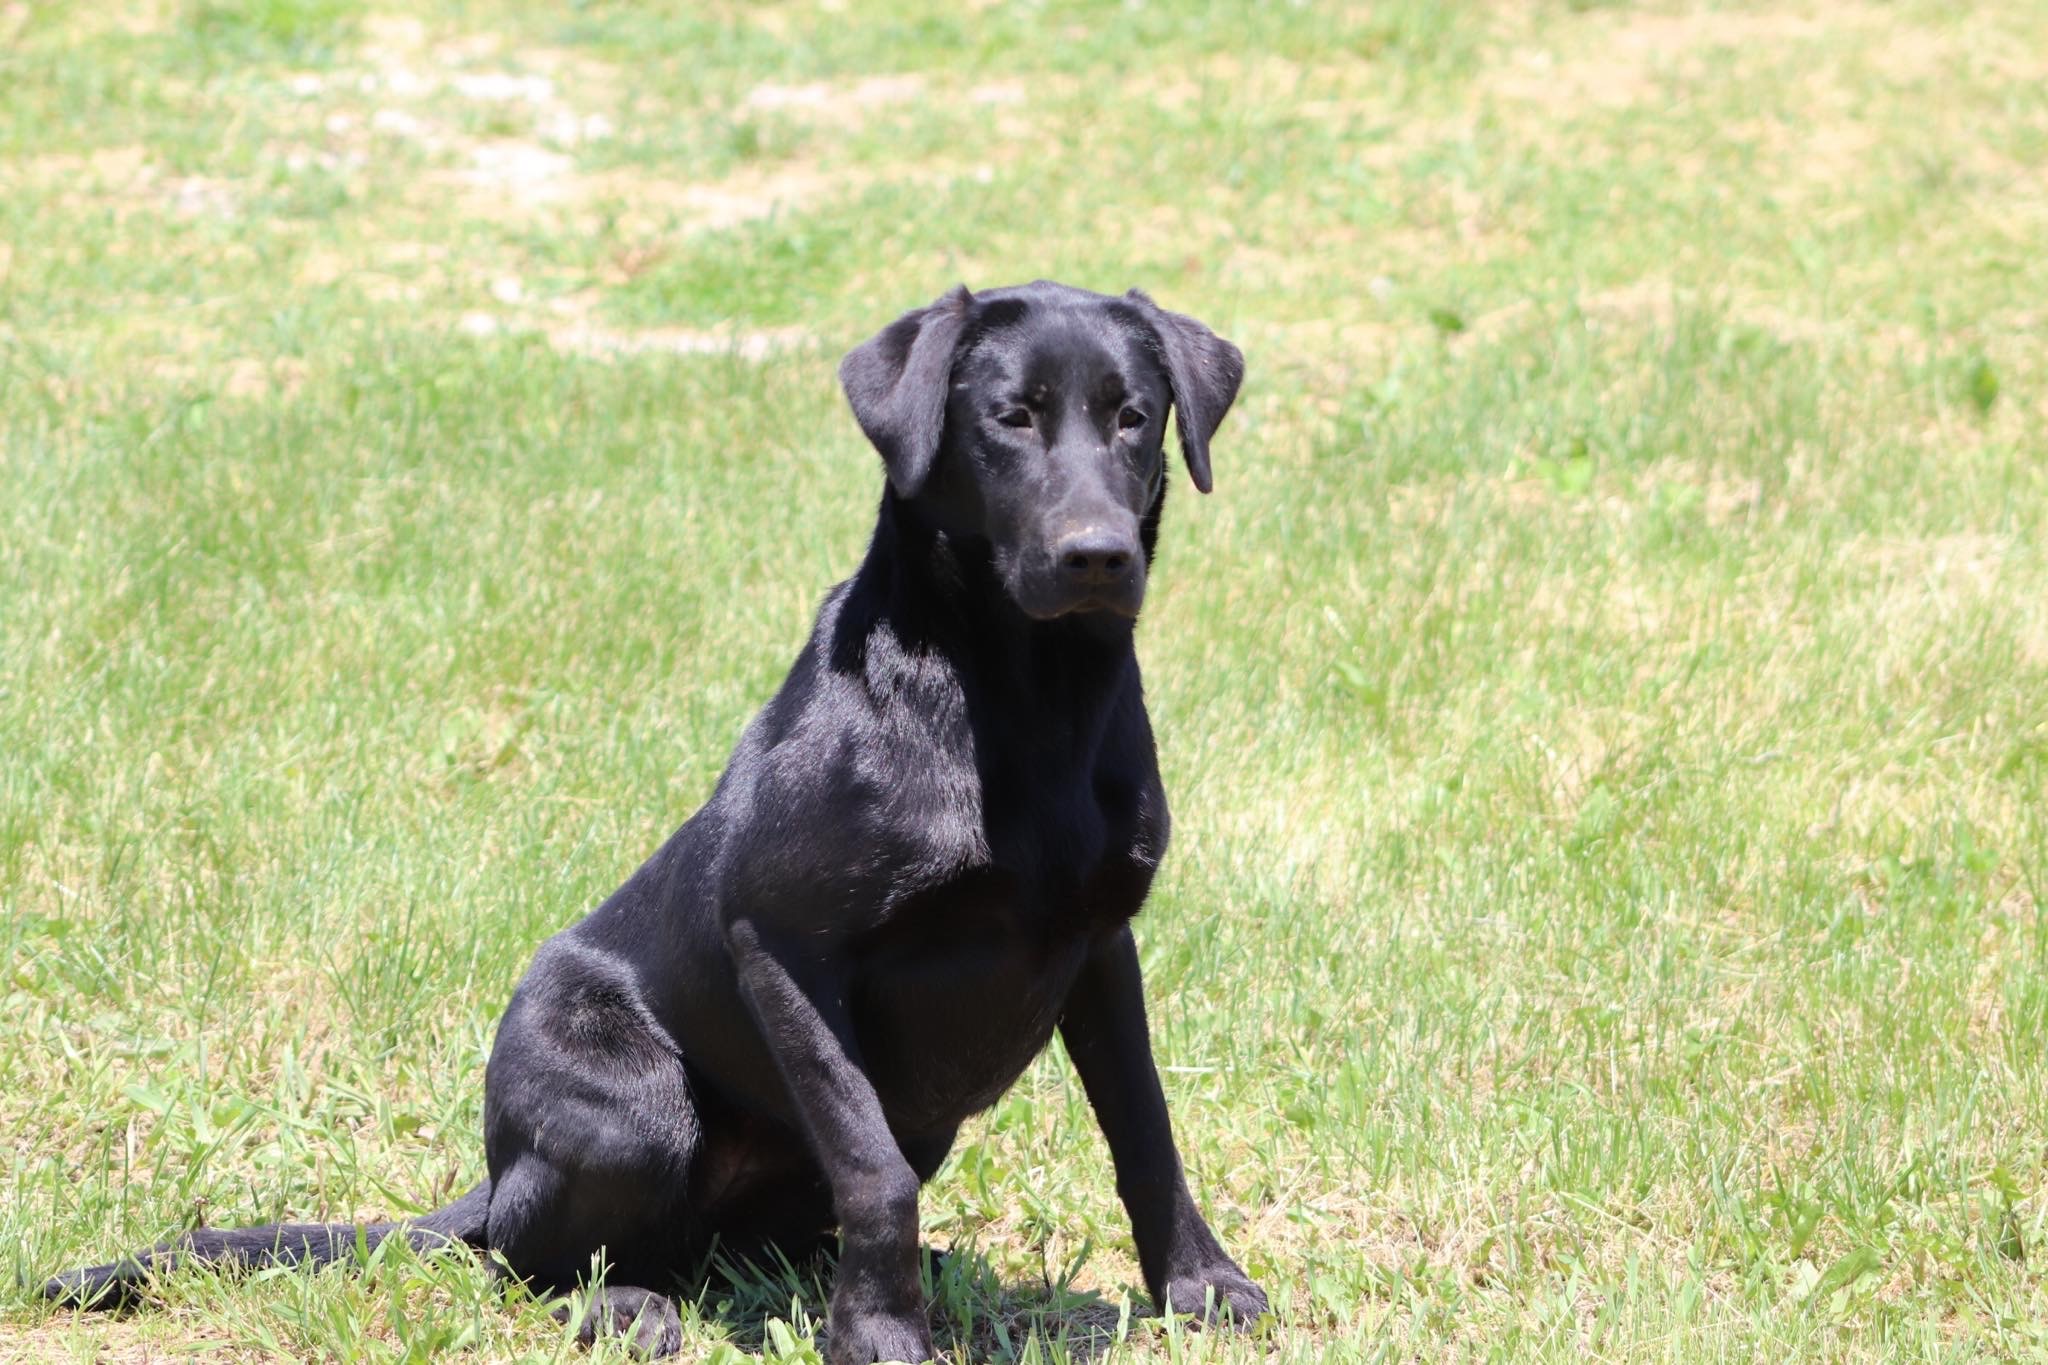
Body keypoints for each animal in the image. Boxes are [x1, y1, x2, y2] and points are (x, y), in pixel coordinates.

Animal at [44, 282, 1261, 1358]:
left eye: (1132, 416)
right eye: (1009, 416)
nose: (1098, 555)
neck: (1024, 700)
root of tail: (495, 1175)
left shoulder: (1098, 942)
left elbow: (1144, 1128)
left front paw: (1199, 1285)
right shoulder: (782, 943)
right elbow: (869, 1165)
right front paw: (879, 1334)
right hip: (629, 1104)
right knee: (530, 1261)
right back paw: (628, 1307)